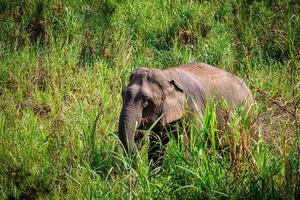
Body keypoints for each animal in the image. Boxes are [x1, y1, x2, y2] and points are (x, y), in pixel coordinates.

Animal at [118, 62, 253, 167]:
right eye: (122, 94)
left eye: (146, 100)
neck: (167, 75)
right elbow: (157, 146)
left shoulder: (193, 106)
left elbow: (192, 143)